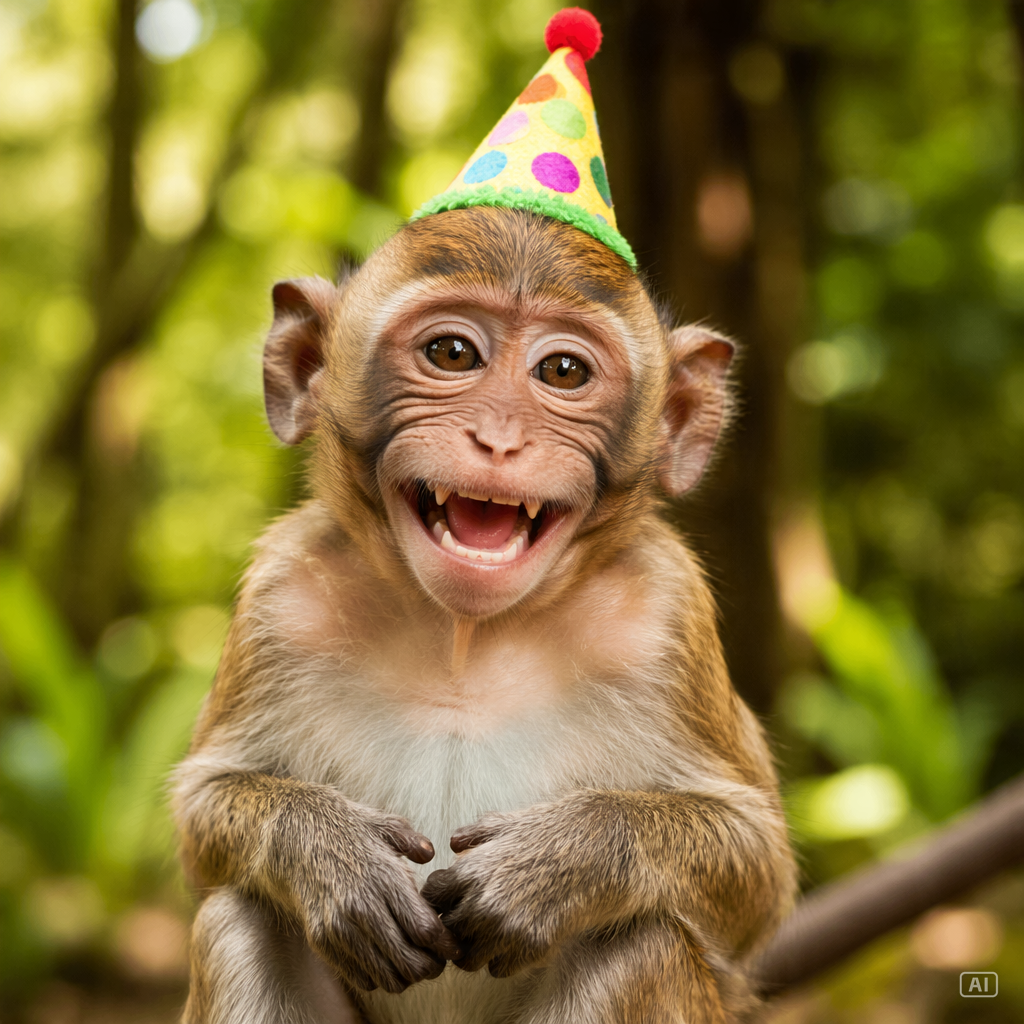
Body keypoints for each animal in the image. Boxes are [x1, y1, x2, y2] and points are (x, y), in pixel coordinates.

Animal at [172, 205, 797, 1024]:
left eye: (563, 372)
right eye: (451, 353)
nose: (499, 439)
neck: (464, 638)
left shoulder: (669, 612)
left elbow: (757, 868)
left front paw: (559, 865)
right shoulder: (279, 595)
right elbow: (203, 811)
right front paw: (330, 857)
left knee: (641, 941)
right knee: (239, 921)